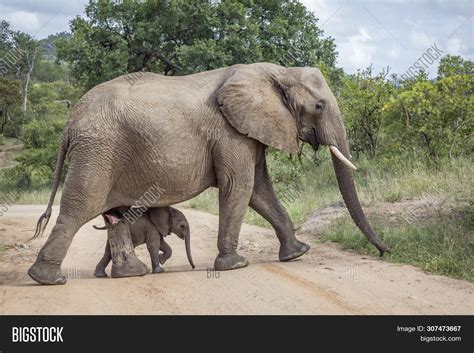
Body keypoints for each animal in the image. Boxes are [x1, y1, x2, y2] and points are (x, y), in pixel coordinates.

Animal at [26, 62, 388, 284]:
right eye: (319, 106)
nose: (385, 251)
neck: (277, 72)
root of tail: (69, 124)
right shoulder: (229, 131)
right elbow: (239, 186)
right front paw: (235, 265)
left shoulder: (247, 130)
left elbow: (259, 190)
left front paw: (298, 254)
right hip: (97, 152)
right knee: (79, 209)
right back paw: (47, 279)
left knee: (115, 216)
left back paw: (131, 274)